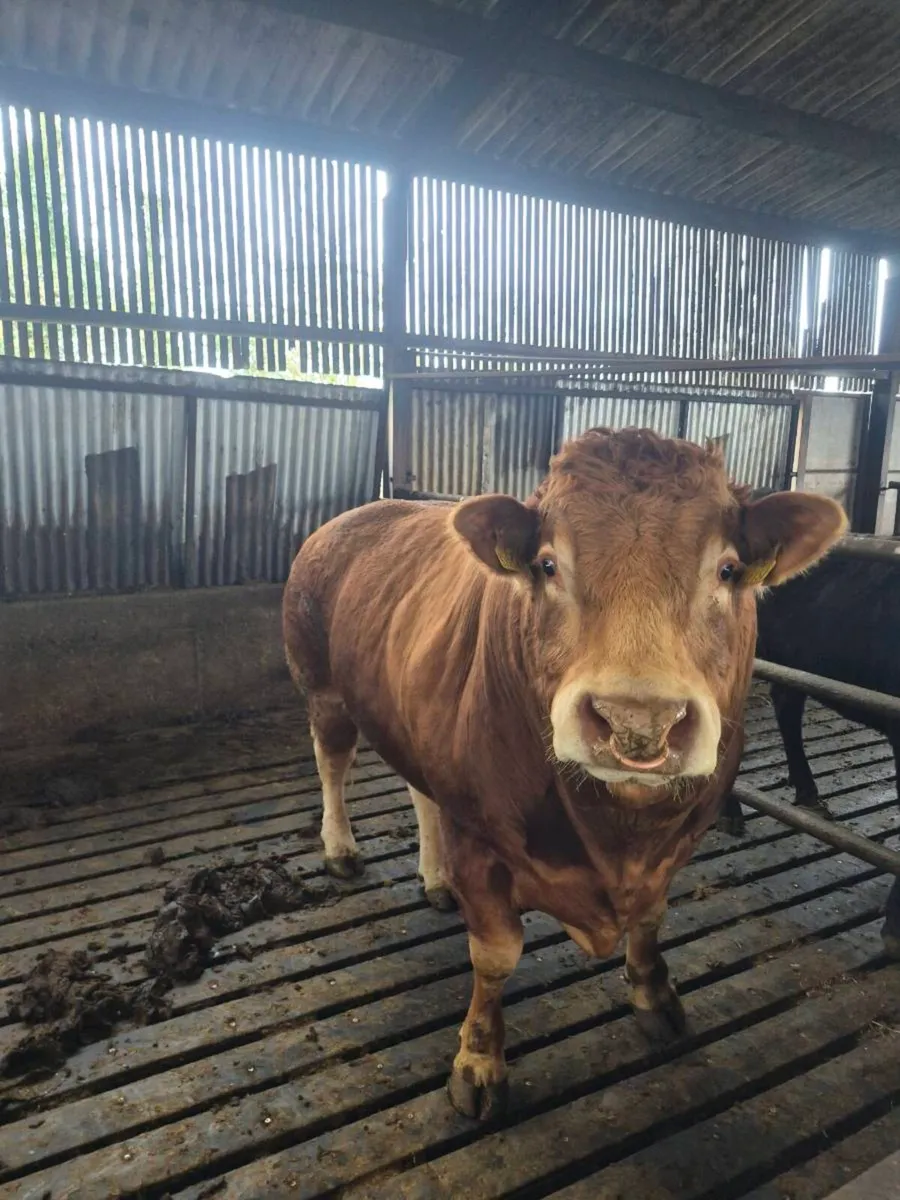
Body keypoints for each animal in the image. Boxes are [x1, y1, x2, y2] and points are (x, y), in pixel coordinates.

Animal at [282, 427, 845, 1120]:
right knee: (332, 761)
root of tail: (360, 512)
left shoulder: (676, 842)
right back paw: (340, 849)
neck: (617, 836)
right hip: (320, 682)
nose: (638, 718)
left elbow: (651, 920)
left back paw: (434, 878)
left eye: (728, 569)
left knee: (420, 792)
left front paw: (656, 999)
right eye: (548, 565)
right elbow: (496, 956)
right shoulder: (480, 835)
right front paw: (477, 1062)